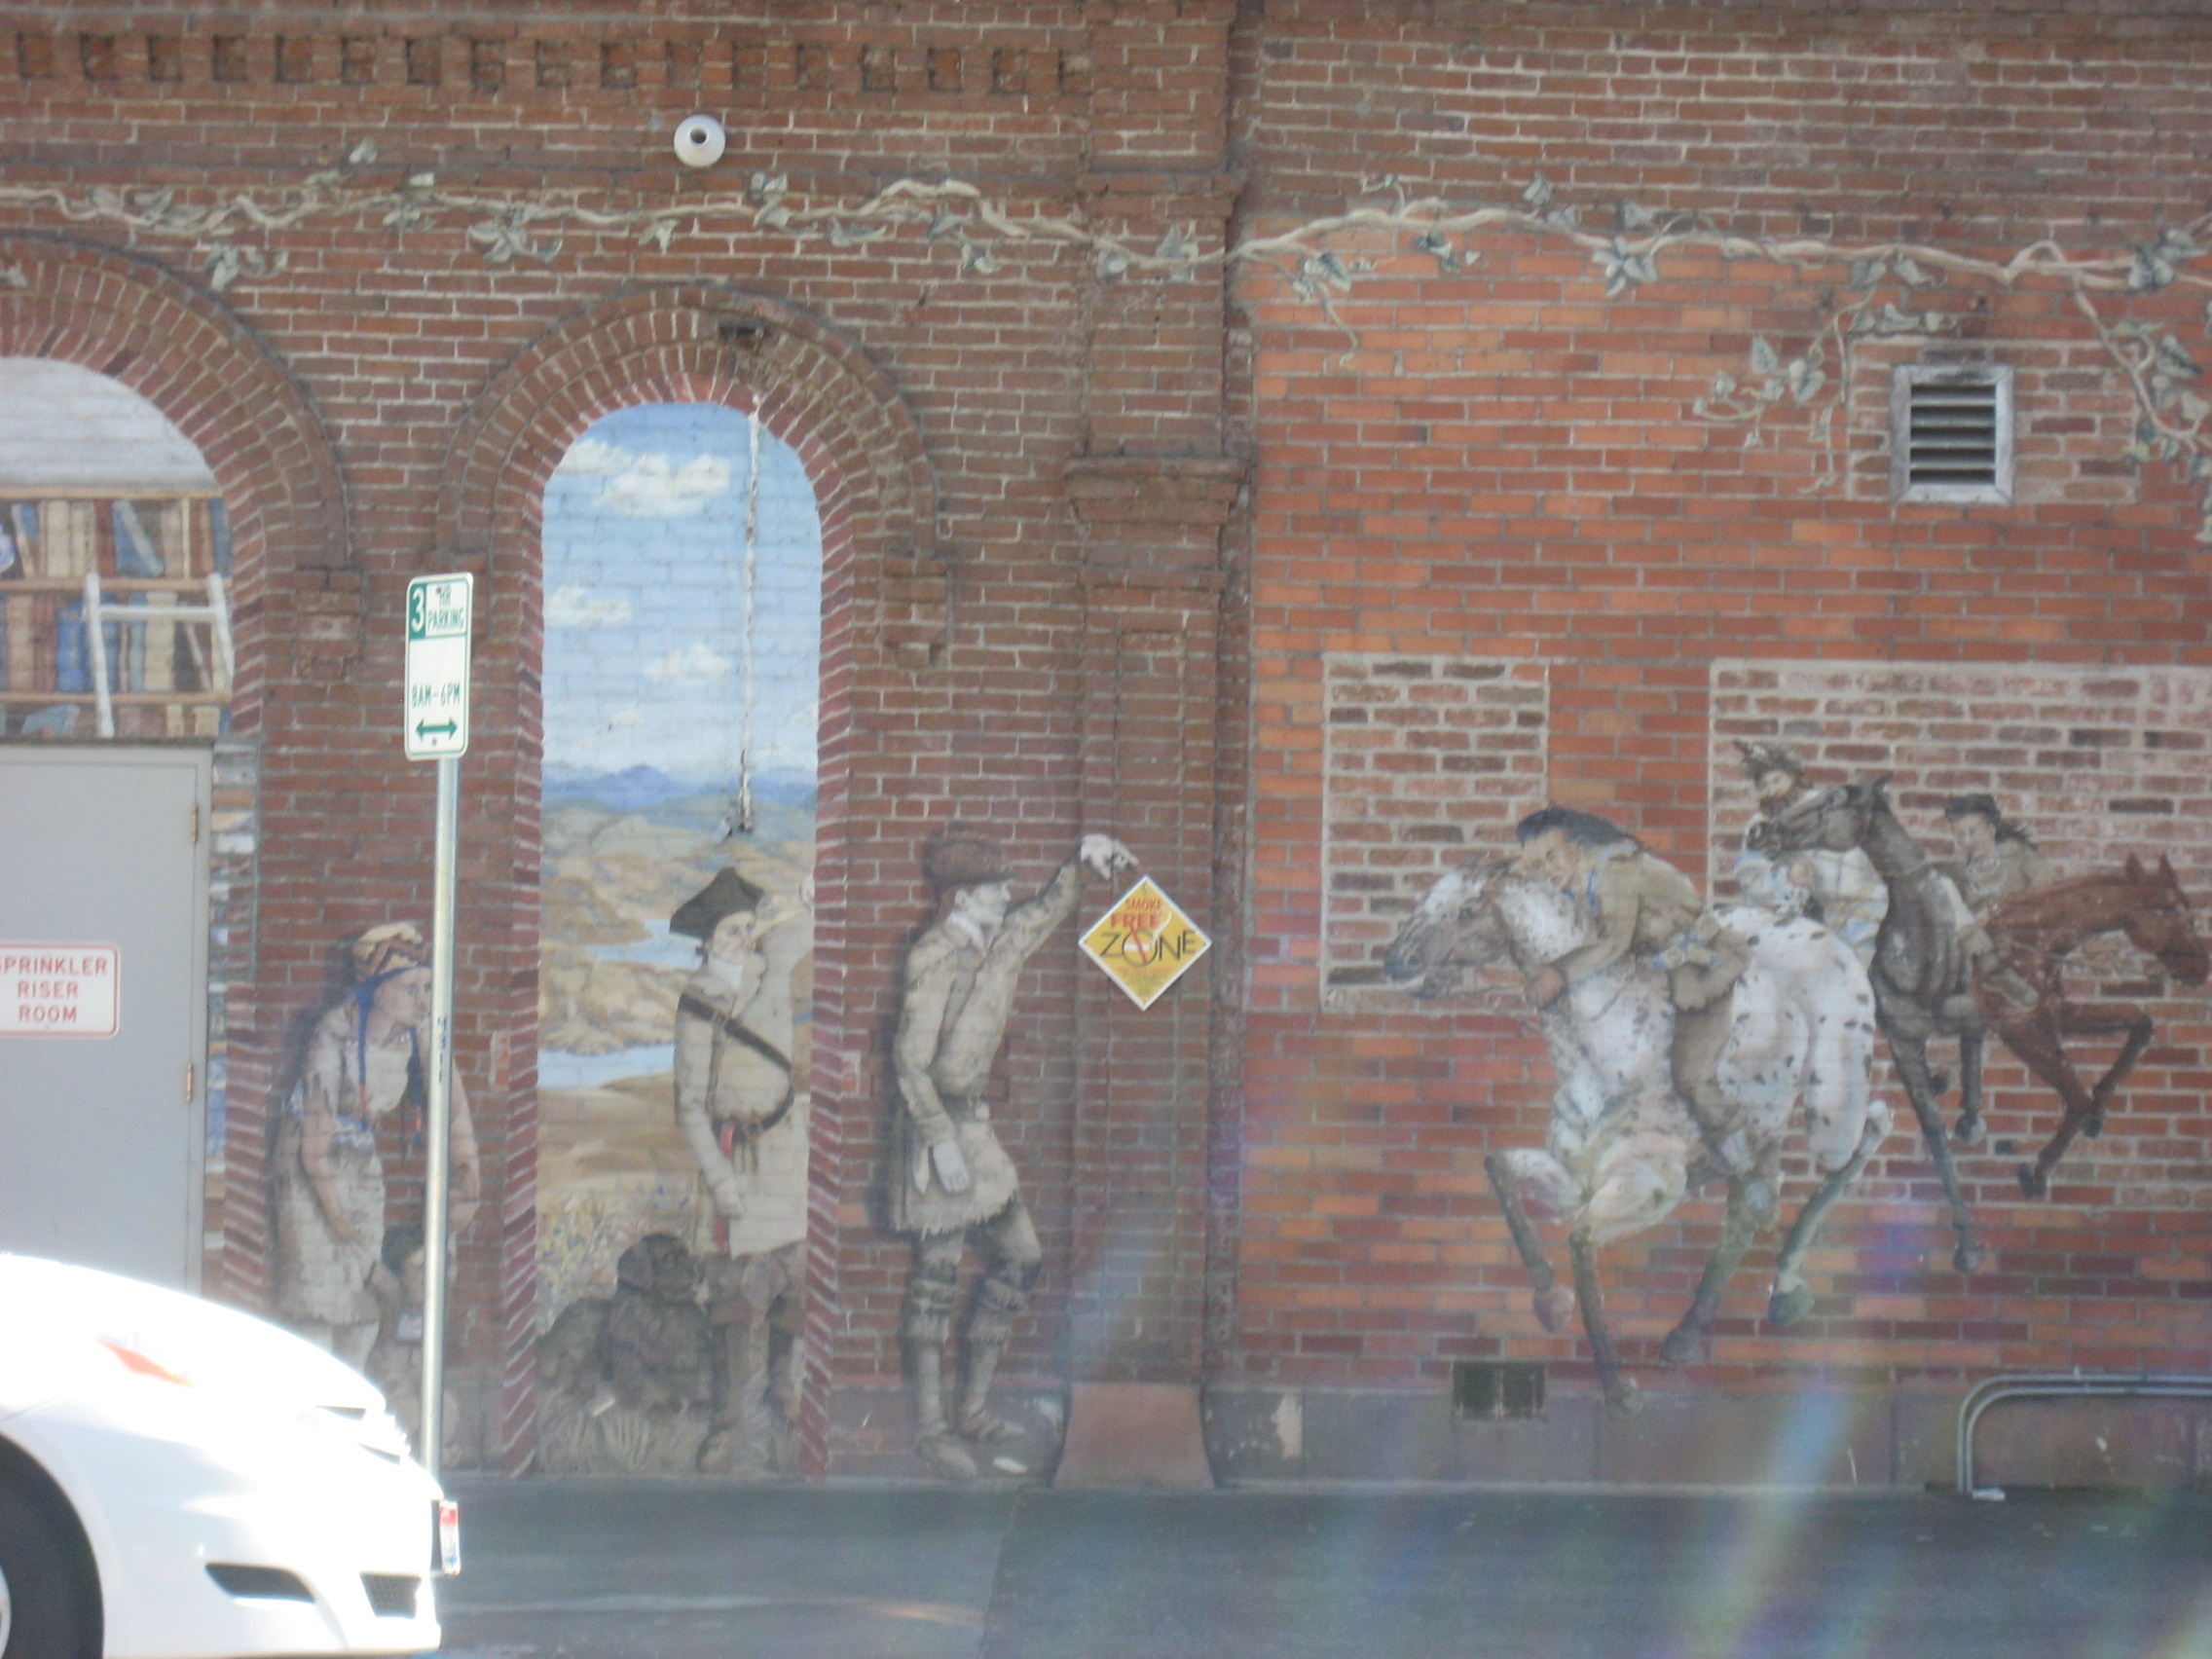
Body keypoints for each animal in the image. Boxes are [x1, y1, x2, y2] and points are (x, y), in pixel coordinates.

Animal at [1383, 857, 1890, 1409]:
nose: (1395, 961)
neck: (1607, 1046)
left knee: (1867, 1131)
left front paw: (1619, 1388)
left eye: (1468, 910)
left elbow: (1582, 1240)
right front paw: (1550, 1302)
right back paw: (1692, 1330)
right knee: (1751, 1206)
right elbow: (1499, 1170)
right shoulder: (1571, 1180)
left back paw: (1787, 1290)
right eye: (1426, 897)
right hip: (1764, 1132)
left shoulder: (1647, 1184)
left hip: (1830, 1112)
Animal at [1752, 776, 1990, 1272]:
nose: (1761, 831)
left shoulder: (1966, 1010)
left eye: (1830, 801)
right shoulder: (1902, 1041)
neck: (1928, 955)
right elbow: (1932, 1125)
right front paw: (1966, 1240)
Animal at [1974, 857, 2208, 1197]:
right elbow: (2077, 1099)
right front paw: (2038, 1174)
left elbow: (2140, 1023)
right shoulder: (2020, 1029)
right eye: (2172, 914)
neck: (2026, 942)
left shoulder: (2058, 1014)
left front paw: (2099, 1107)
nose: (2201, 969)